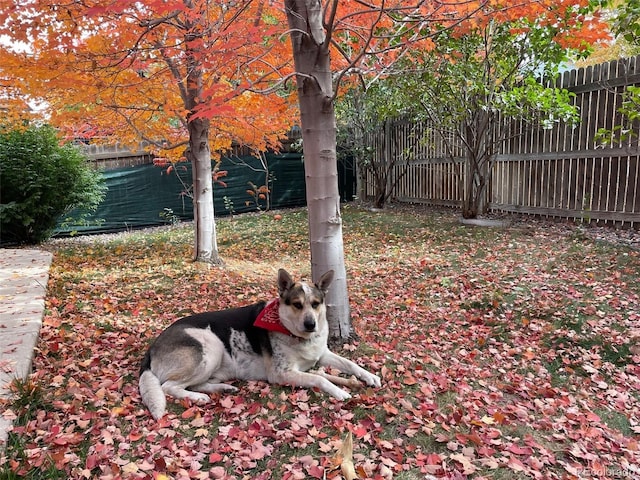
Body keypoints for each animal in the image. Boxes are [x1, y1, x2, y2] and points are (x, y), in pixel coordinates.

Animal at [139, 268, 380, 418]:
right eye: (297, 304)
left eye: (315, 304)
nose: (311, 324)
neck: (297, 335)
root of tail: (151, 348)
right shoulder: (282, 373)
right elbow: (320, 379)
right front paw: (339, 391)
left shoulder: (322, 354)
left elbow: (350, 364)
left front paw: (369, 376)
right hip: (211, 345)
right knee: (169, 386)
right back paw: (197, 398)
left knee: (196, 383)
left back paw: (223, 388)